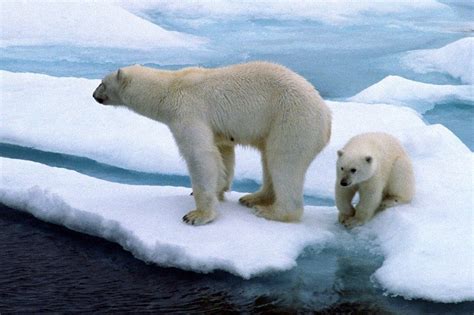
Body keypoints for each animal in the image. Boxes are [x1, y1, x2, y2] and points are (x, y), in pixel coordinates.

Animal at [91, 61, 330, 226]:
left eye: (102, 82)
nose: (93, 95)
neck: (169, 87)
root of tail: (327, 117)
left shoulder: (187, 110)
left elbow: (200, 155)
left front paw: (197, 215)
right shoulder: (218, 129)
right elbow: (222, 153)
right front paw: (218, 189)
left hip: (292, 120)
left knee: (284, 163)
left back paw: (272, 211)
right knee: (269, 160)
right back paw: (254, 198)